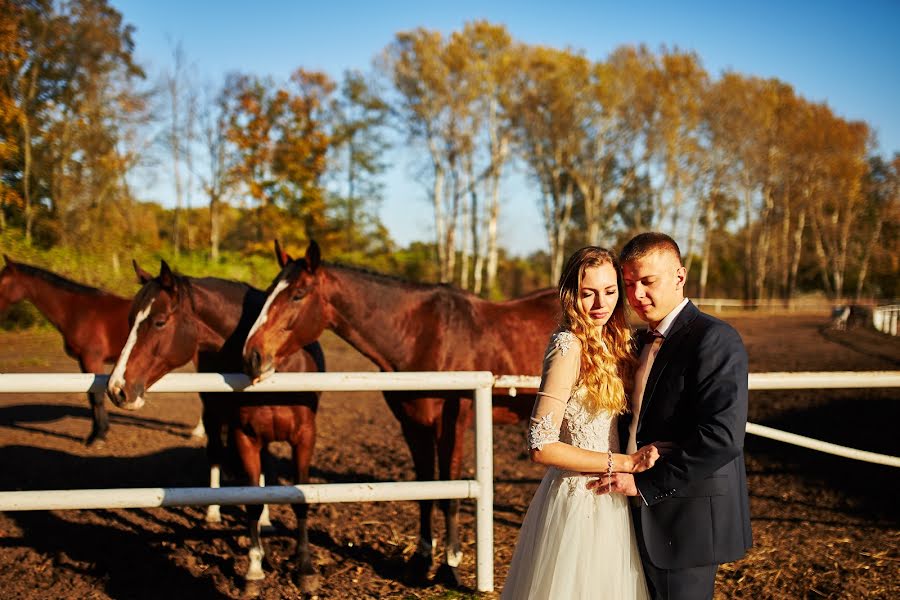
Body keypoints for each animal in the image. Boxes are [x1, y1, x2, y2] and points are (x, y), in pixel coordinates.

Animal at [0, 255, 132, 442]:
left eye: (3, 281)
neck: (78, 310)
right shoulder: (83, 362)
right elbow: (91, 395)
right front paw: (96, 432)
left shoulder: (92, 359)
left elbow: (97, 396)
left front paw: (98, 435)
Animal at [106, 258, 324, 592]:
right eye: (131, 320)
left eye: (159, 322)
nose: (117, 389)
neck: (279, 369)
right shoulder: (245, 435)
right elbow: (250, 501)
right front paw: (254, 569)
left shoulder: (304, 437)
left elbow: (299, 500)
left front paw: (305, 569)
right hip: (213, 415)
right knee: (216, 456)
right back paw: (214, 511)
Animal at [243, 240, 560, 584]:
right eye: (270, 290)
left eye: (298, 294)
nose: (252, 355)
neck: (423, 335)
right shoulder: (413, 424)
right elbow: (426, 489)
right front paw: (422, 560)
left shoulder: (452, 424)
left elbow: (450, 492)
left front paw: (451, 565)